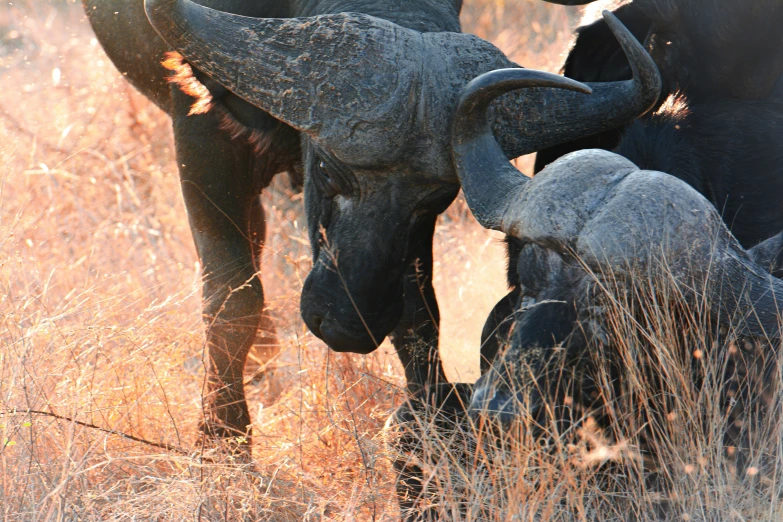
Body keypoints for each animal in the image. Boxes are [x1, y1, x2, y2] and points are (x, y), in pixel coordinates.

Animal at [86, 0, 660, 438]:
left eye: (439, 198)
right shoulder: (202, 135)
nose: (348, 324)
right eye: (329, 171)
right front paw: (222, 444)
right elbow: (232, 301)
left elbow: (419, 314)